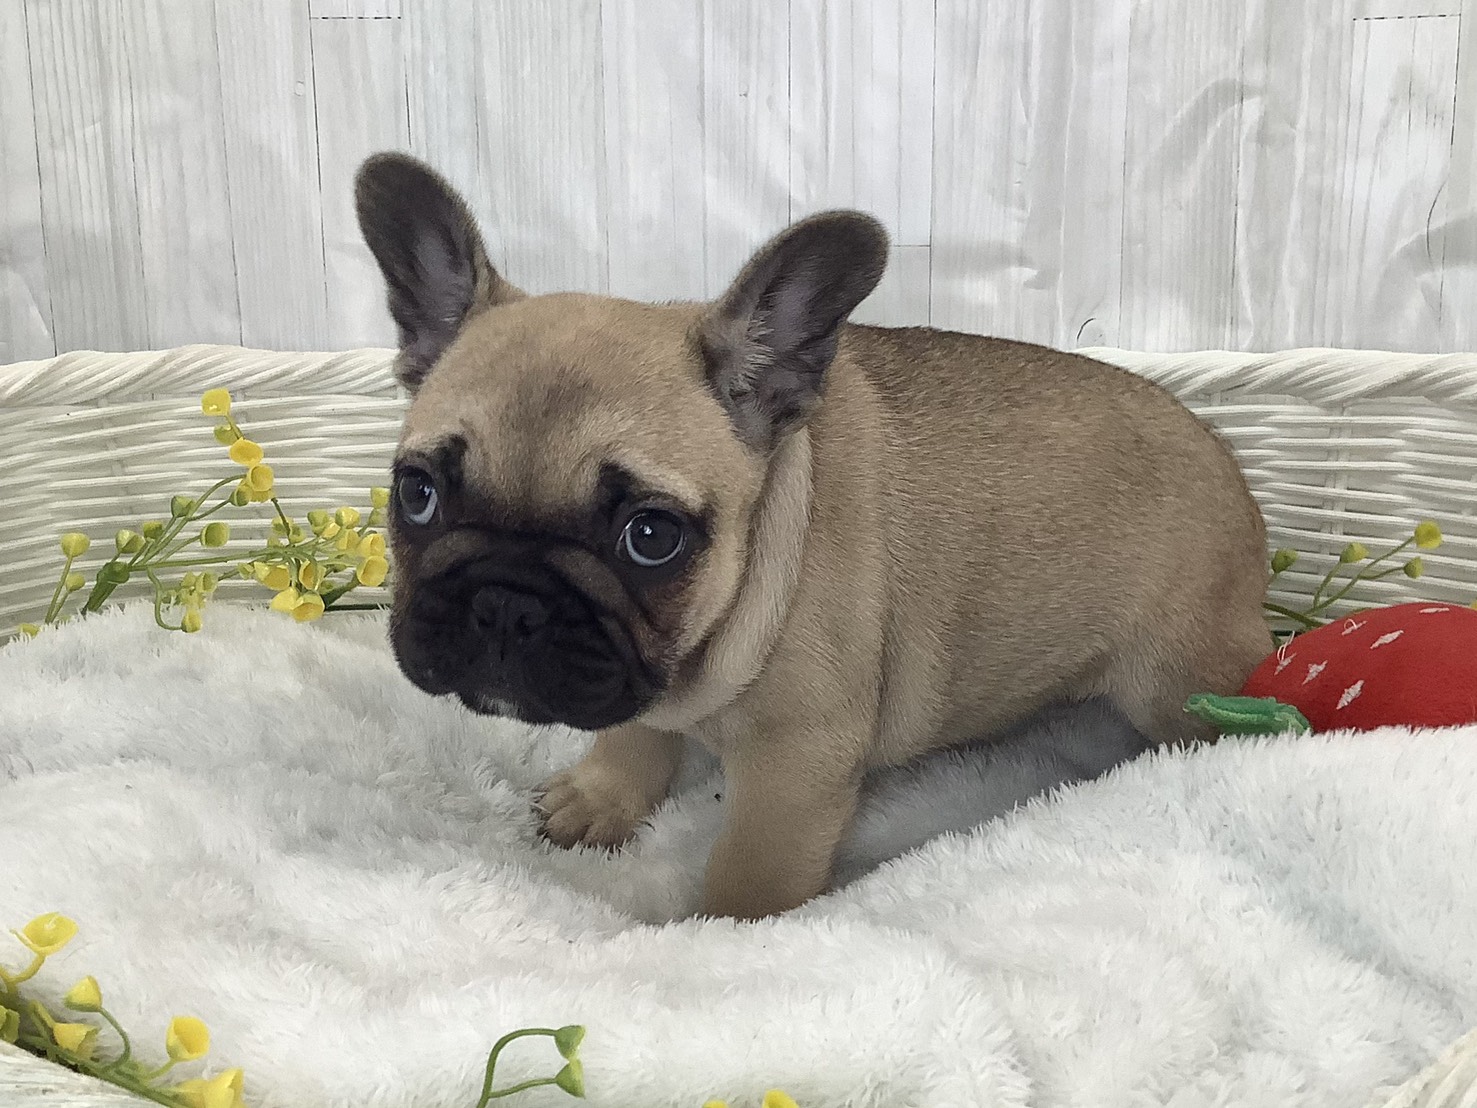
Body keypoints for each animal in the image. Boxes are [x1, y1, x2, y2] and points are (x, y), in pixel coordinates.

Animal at [354, 152, 1272, 920]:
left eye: (650, 537)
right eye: (417, 494)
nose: (504, 601)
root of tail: (1233, 479)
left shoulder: (795, 765)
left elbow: (750, 873)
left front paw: (721, 935)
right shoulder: (637, 670)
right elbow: (633, 728)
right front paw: (602, 795)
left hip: (1174, 677)